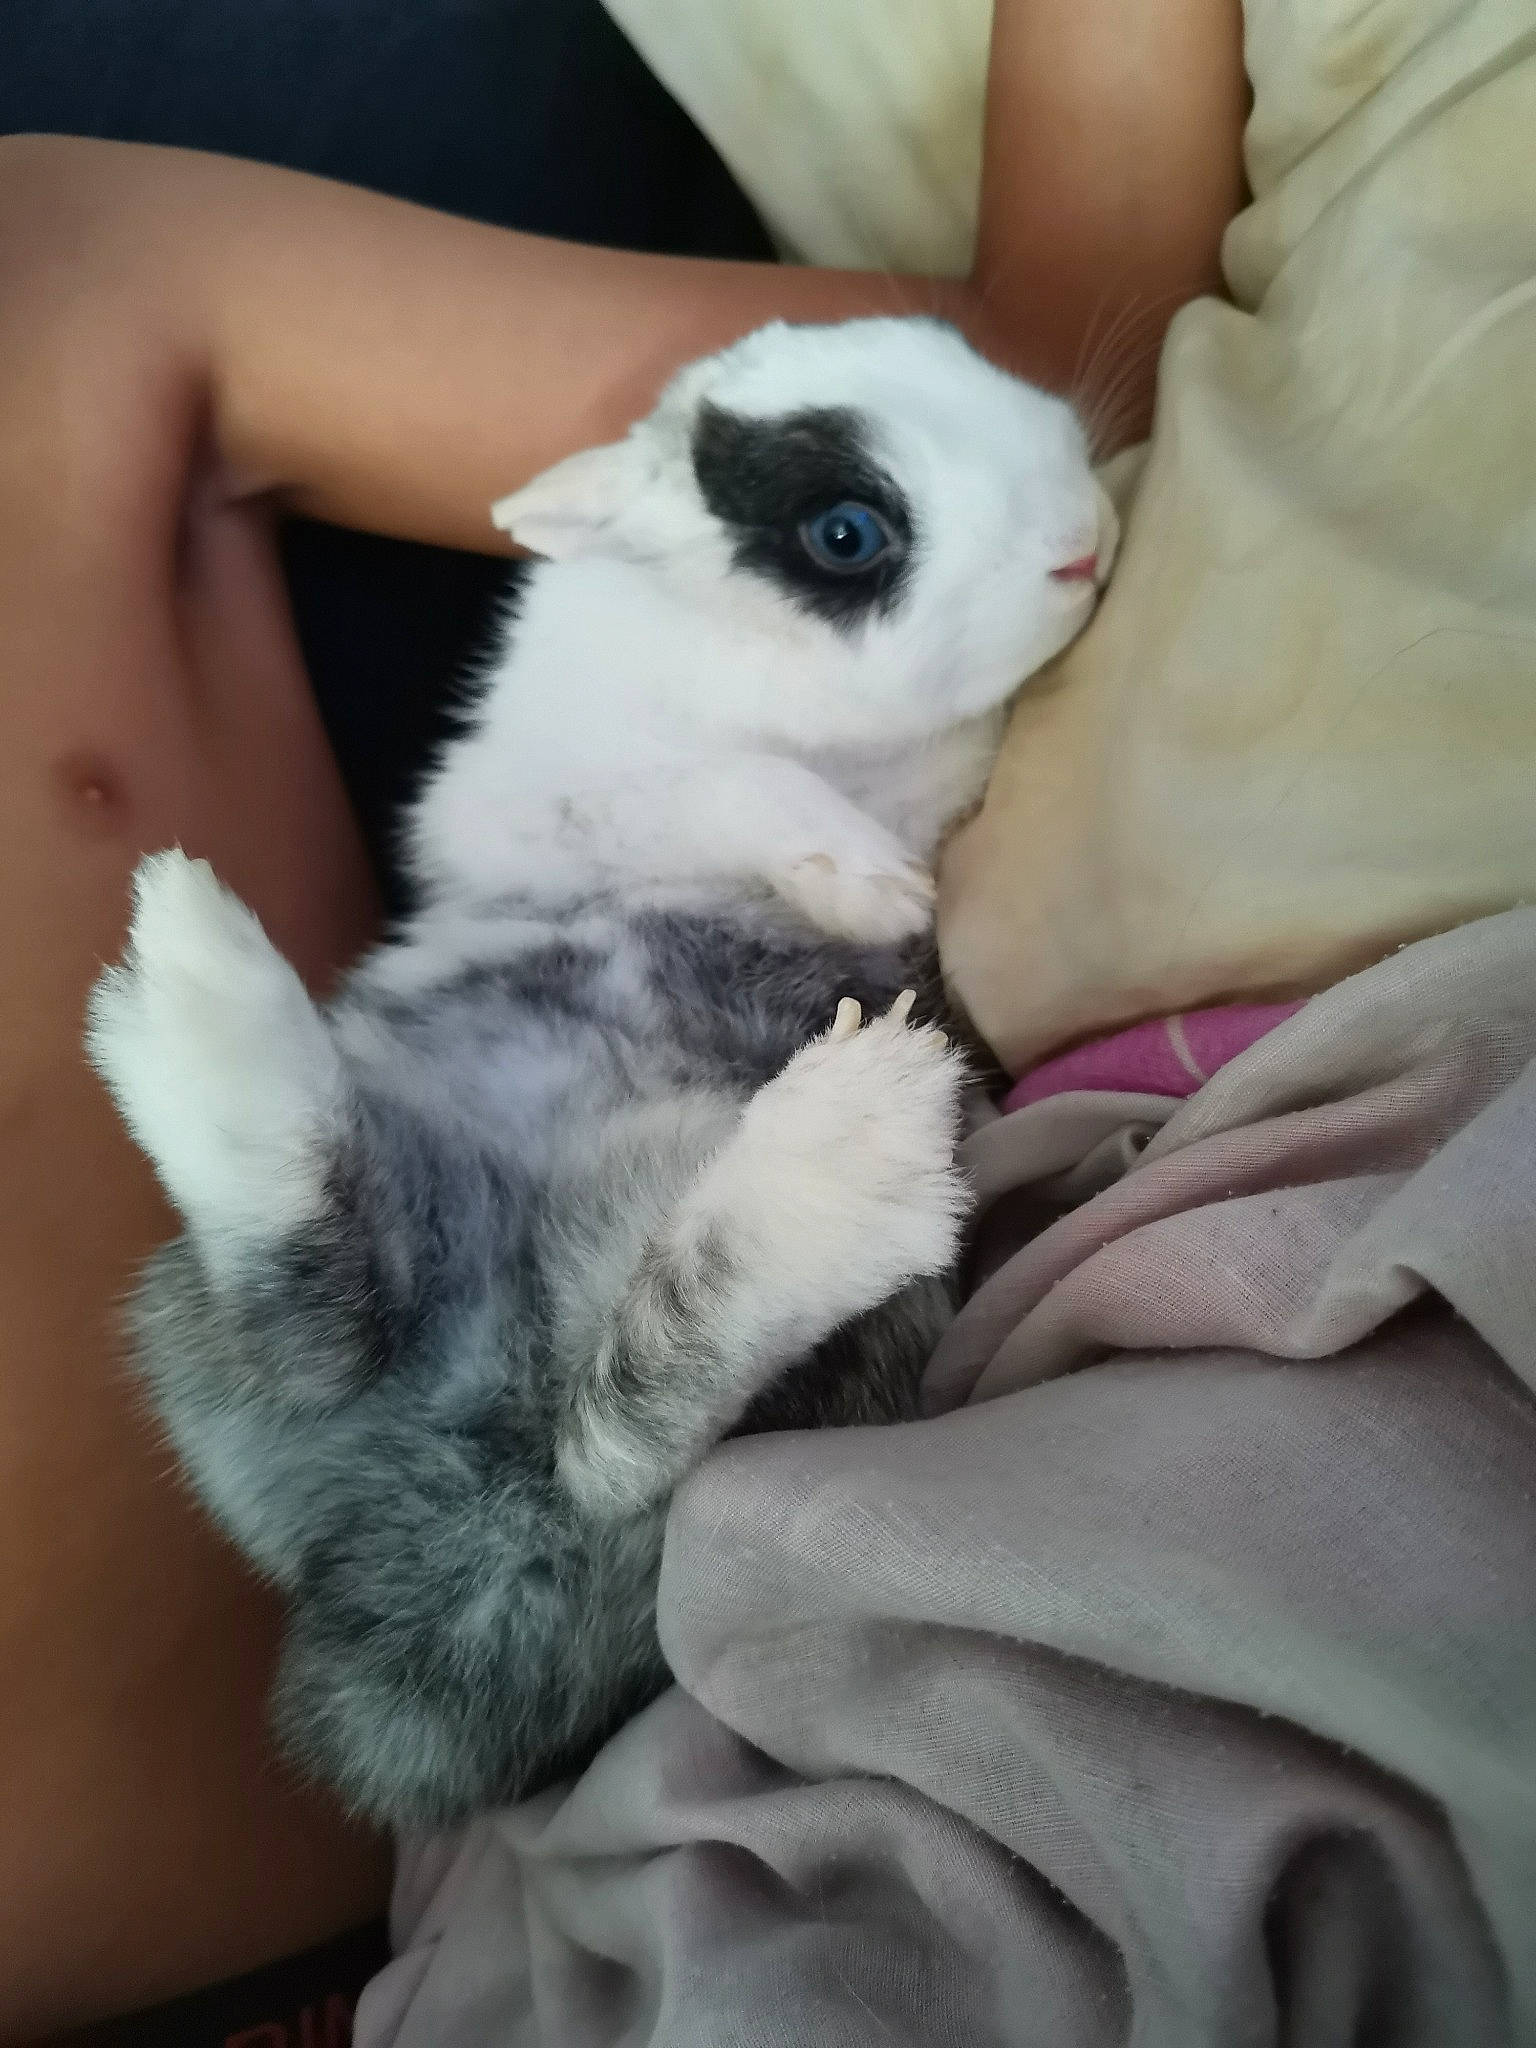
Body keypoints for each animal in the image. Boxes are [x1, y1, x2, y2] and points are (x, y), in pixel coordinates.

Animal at [86, 315, 1116, 1827]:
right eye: (849, 532)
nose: (1087, 540)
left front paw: (876, 882)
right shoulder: (560, 797)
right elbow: (727, 784)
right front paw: (868, 878)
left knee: (605, 1417)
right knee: (402, 1343)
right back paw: (182, 970)